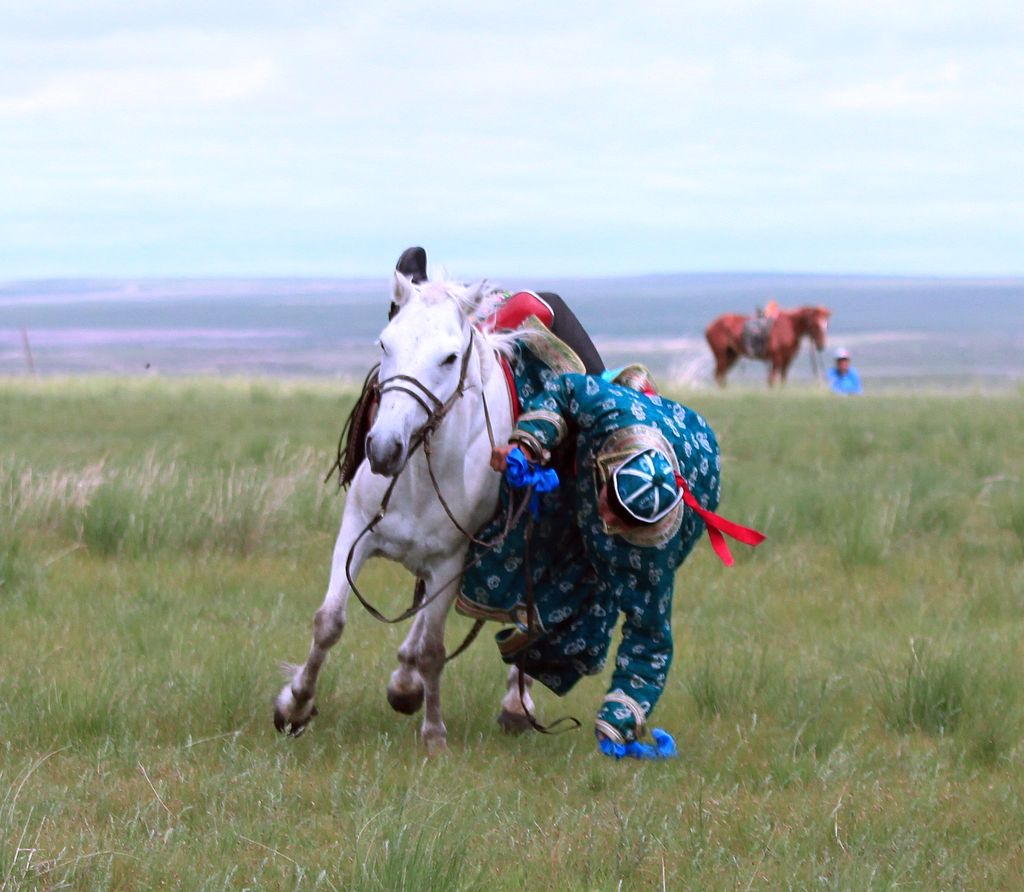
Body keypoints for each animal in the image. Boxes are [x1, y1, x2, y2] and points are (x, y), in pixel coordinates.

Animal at [276, 268, 540, 749]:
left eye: (450, 358)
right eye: (385, 344)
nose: (383, 449)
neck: (418, 476)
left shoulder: (452, 563)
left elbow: (434, 649)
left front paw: (434, 734)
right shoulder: (355, 535)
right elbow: (329, 623)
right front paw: (294, 706)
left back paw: (513, 703)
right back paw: (404, 684)